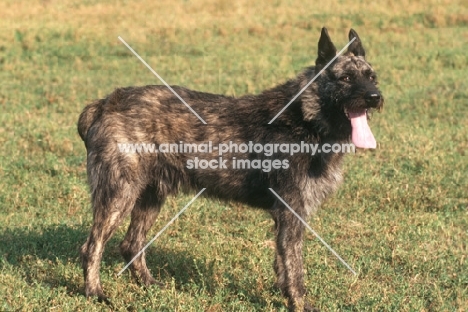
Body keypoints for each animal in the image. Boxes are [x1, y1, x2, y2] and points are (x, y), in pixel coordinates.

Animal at [77, 28, 384, 310]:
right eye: (345, 78)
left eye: (371, 76)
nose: (375, 96)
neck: (306, 118)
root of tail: (105, 103)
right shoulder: (291, 213)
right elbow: (295, 268)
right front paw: (298, 303)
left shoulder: (286, 218)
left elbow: (282, 263)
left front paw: (283, 293)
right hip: (118, 197)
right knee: (92, 247)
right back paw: (94, 292)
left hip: (150, 198)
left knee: (131, 245)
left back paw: (149, 285)